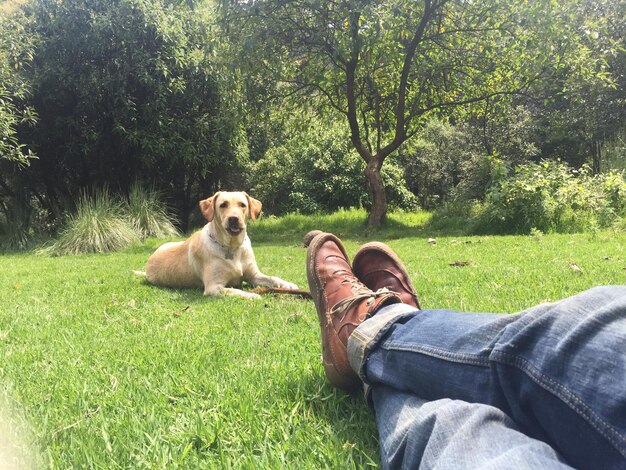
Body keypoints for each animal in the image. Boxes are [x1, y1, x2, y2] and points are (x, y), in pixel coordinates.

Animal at [145, 192, 296, 300]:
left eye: (242, 205)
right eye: (223, 205)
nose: (233, 218)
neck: (232, 247)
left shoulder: (254, 276)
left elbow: (272, 278)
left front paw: (288, 284)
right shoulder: (213, 287)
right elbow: (236, 291)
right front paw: (252, 295)